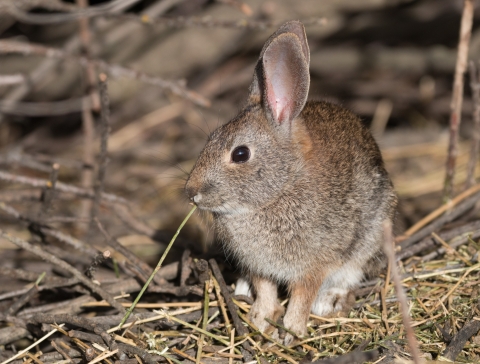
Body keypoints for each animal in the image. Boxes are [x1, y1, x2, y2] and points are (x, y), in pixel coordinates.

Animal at [186, 19, 396, 344]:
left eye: (240, 154)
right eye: (210, 139)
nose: (191, 192)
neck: (280, 189)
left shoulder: (314, 264)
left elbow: (302, 296)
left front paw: (292, 331)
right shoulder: (259, 266)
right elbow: (265, 289)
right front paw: (261, 320)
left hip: (370, 238)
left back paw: (330, 301)